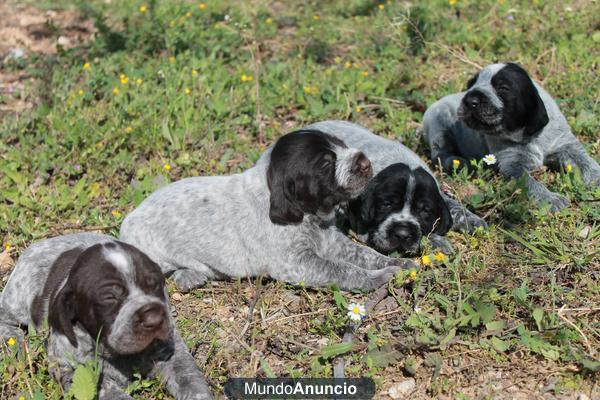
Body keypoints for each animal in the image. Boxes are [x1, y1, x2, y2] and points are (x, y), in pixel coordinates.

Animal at [119, 130, 414, 290]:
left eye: (341, 145)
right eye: (325, 164)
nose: (365, 162)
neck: (309, 215)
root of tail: (127, 221)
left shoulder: (332, 242)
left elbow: (365, 254)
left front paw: (398, 263)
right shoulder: (296, 263)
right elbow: (343, 270)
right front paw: (378, 278)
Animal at [304, 120, 488, 255]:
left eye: (424, 210)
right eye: (386, 204)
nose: (402, 234)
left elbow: (451, 204)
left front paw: (472, 220)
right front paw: (436, 241)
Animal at [422, 62, 600, 211]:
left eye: (503, 88)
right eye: (470, 85)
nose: (469, 99)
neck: (530, 135)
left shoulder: (565, 144)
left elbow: (585, 161)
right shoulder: (513, 164)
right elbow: (531, 184)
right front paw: (552, 199)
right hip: (439, 125)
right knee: (440, 154)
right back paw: (459, 163)